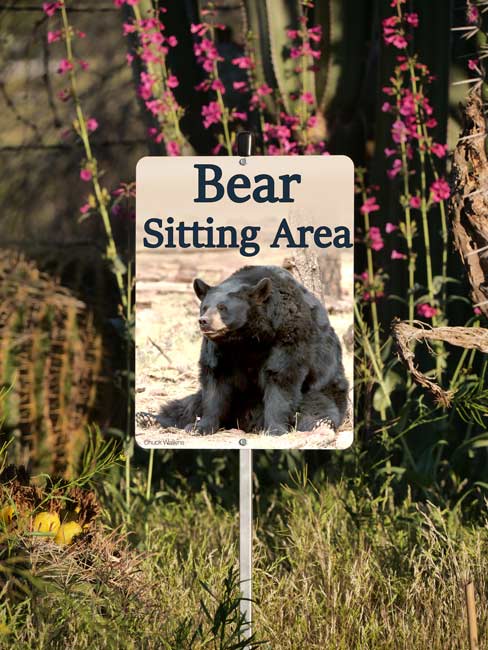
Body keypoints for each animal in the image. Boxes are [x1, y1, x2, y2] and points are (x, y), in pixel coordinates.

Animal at [140, 265, 349, 436]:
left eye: (222, 307)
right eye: (204, 307)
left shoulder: (288, 333)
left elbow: (281, 376)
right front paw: (201, 427)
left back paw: (319, 423)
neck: (247, 337)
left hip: (325, 387)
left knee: (317, 406)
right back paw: (148, 418)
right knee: (187, 405)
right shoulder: (219, 348)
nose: (204, 321)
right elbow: (214, 382)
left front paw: (275, 429)